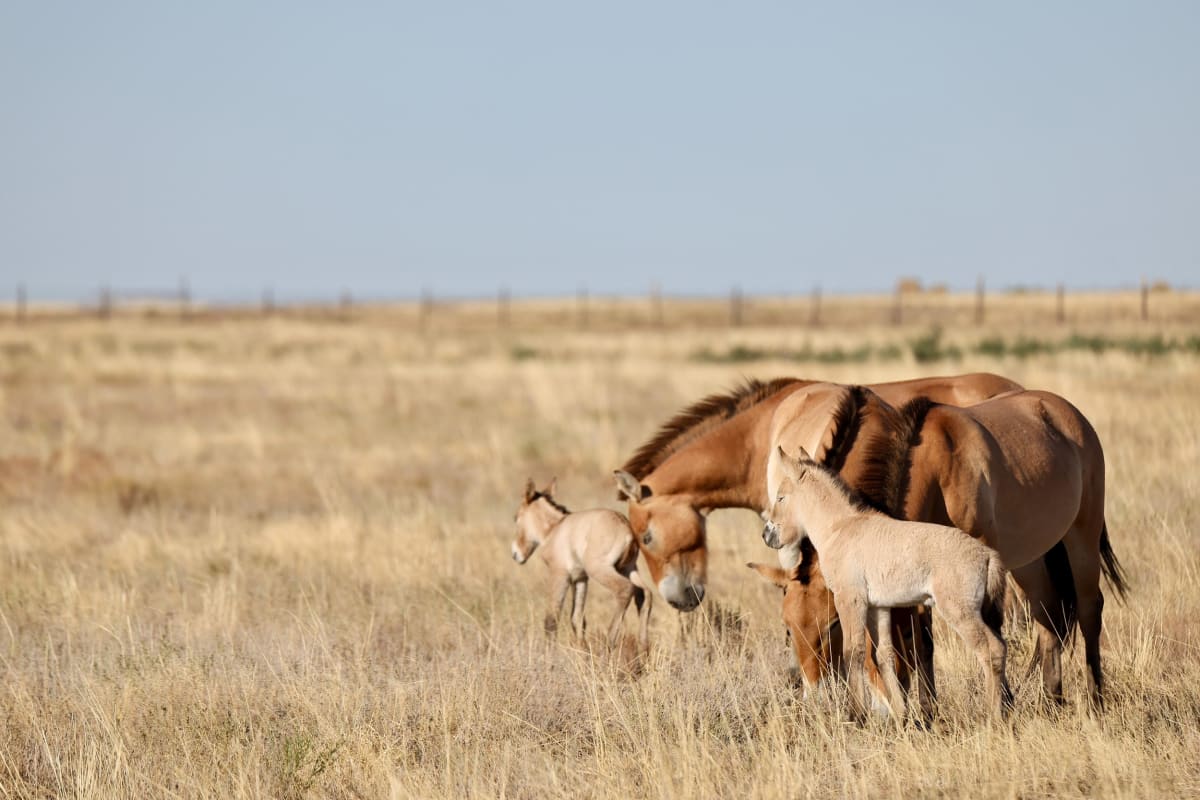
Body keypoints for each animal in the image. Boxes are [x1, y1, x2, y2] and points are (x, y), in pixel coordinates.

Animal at [512, 479, 652, 650]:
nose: (516, 554)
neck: (555, 528)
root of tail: (626, 529)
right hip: (628, 569)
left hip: (601, 570)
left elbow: (551, 619)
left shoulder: (560, 575)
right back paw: (643, 648)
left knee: (625, 589)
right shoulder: (580, 579)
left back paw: (609, 644)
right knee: (645, 594)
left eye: (516, 517)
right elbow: (577, 619)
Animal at [763, 446, 1012, 720]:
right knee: (1000, 647)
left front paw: (856, 714)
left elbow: (853, 651)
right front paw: (901, 715)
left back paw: (992, 717)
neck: (840, 528)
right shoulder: (878, 606)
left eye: (781, 497)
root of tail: (987, 555)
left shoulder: (850, 599)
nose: (767, 535)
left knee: (991, 650)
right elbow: (883, 654)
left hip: (960, 612)